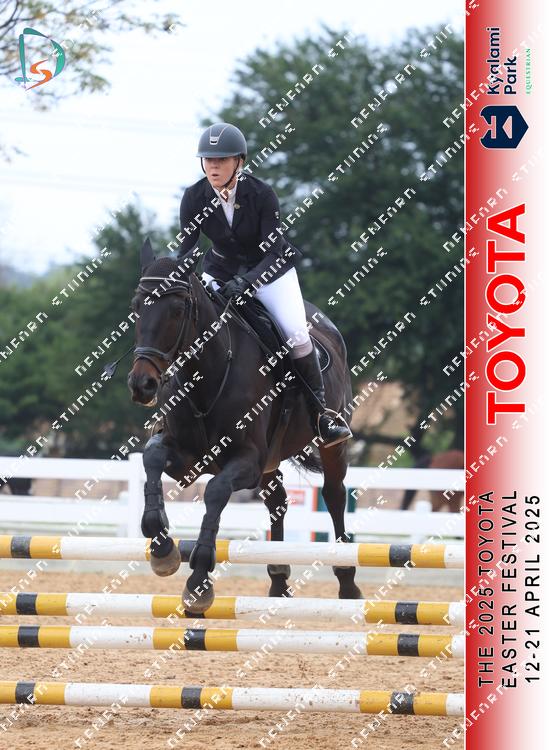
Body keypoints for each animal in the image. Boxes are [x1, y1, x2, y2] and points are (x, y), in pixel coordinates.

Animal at [126, 239, 362, 613]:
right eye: (136, 307)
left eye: (177, 309)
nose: (142, 385)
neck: (209, 374)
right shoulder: (185, 459)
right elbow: (151, 458)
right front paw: (162, 548)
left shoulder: (247, 461)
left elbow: (216, 492)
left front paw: (198, 581)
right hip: (271, 460)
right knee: (277, 499)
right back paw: (278, 578)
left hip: (330, 445)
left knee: (335, 495)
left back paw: (347, 581)